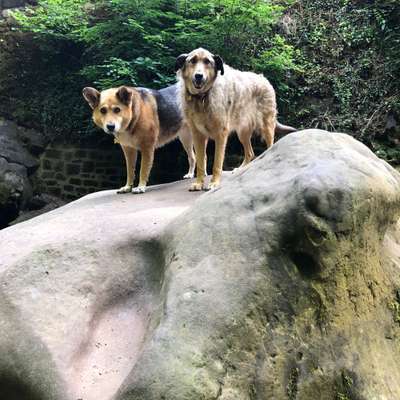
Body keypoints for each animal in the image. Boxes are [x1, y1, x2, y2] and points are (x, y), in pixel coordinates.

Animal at [177, 47, 296, 191]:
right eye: (192, 61)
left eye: (207, 62)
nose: (198, 76)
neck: (202, 98)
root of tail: (263, 78)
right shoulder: (197, 135)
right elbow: (200, 162)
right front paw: (199, 183)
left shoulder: (221, 135)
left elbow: (217, 163)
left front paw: (214, 183)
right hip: (242, 132)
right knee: (250, 153)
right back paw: (240, 169)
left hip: (266, 126)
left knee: (270, 146)